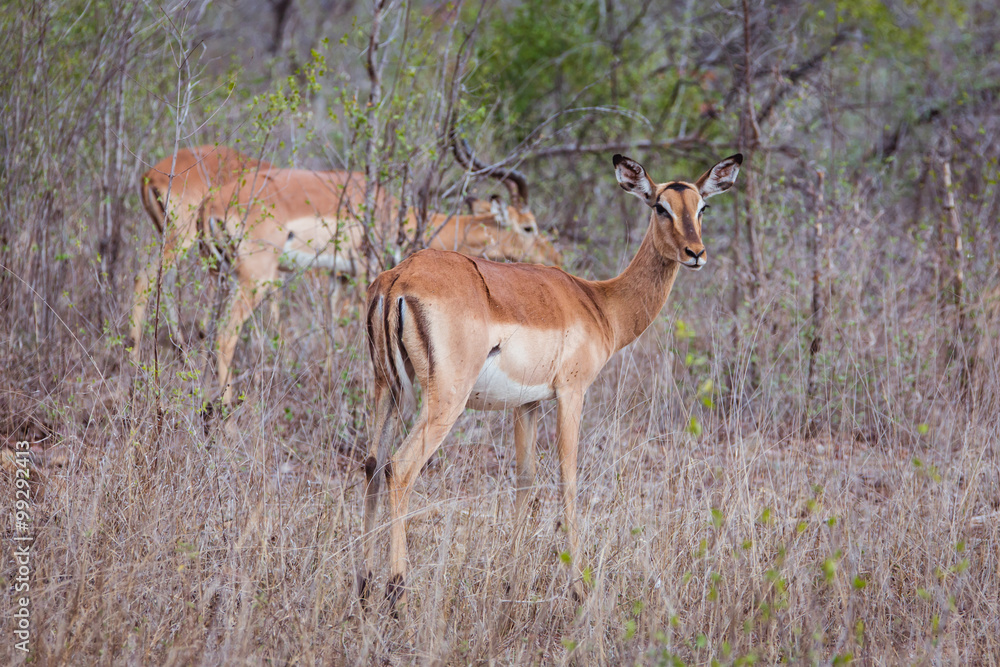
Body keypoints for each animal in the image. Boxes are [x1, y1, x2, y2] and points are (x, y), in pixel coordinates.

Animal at [129, 145, 270, 362]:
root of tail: (150, 176)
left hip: (168, 236)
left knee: (163, 280)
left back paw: (181, 351)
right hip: (182, 237)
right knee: (146, 277)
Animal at [200, 165, 559, 406]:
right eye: (528, 226)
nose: (554, 255)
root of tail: (213, 204)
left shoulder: (340, 276)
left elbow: (332, 329)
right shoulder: (366, 271)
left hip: (217, 274)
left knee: (207, 329)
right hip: (255, 278)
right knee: (226, 332)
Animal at [359, 152, 742, 607]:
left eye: (702, 208)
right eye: (660, 207)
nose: (695, 252)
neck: (599, 304)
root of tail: (397, 279)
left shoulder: (526, 404)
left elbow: (525, 480)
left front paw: (511, 585)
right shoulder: (571, 393)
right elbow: (569, 479)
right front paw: (579, 588)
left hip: (388, 388)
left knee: (372, 465)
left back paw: (362, 585)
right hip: (444, 400)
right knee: (399, 468)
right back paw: (396, 592)